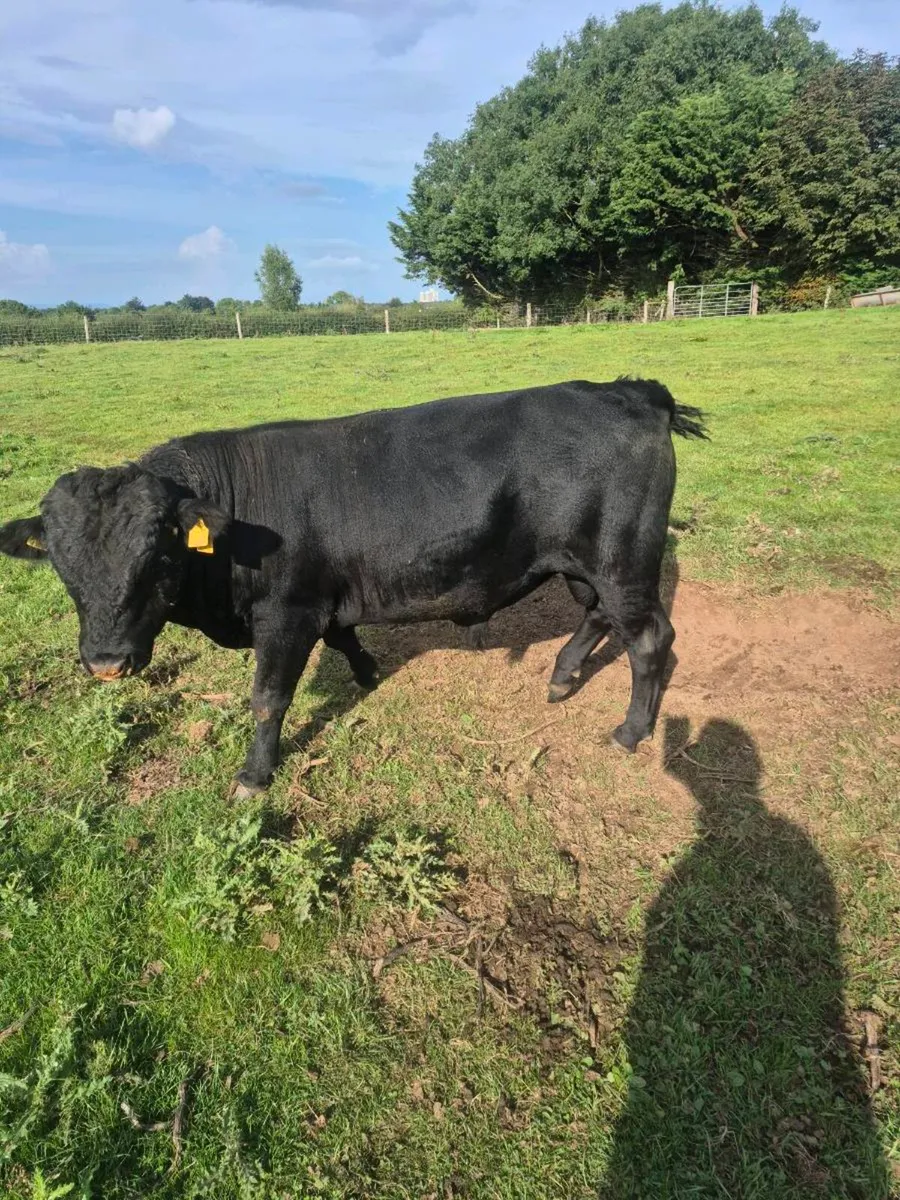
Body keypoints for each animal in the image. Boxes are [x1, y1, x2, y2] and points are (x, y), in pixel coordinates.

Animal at [0, 378, 706, 797]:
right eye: (61, 563)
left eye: (158, 551)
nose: (105, 662)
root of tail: (628, 390)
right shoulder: (324, 601)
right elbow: (344, 638)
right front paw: (367, 674)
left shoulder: (285, 613)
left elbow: (268, 699)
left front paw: (254, 776)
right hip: (584, 564)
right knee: (600, 617)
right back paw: (561, 676)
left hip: (621, 559)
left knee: (650, 638)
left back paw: (631, 730)